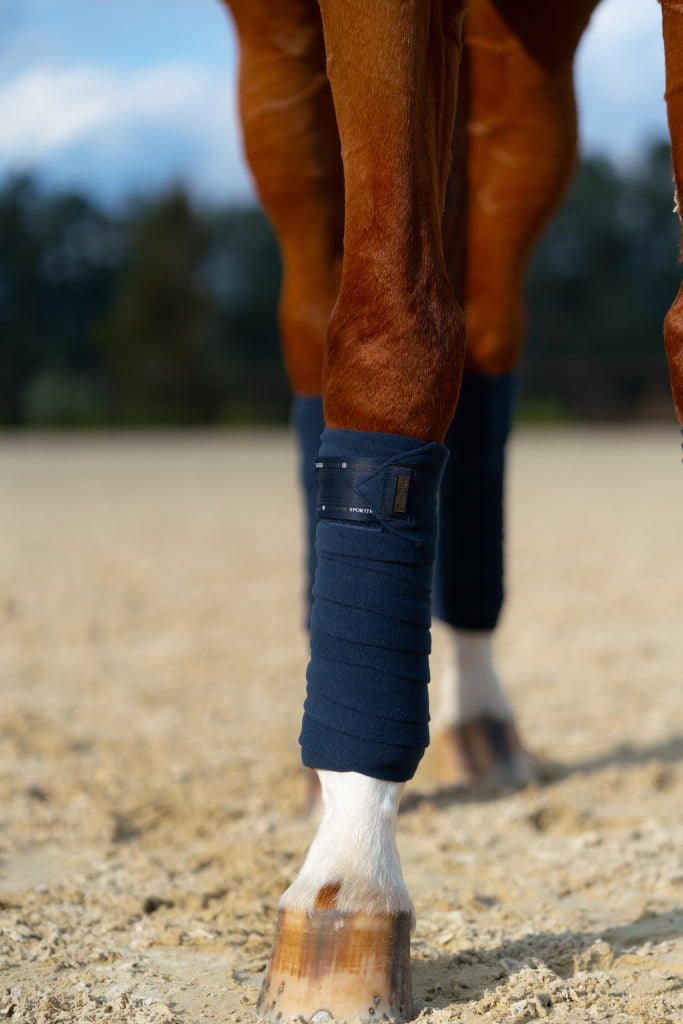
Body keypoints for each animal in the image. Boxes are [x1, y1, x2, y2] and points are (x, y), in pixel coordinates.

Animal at [222, 0, 679, 1019]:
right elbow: (389, 334)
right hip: (275, 59)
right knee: (315, 317)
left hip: (525, 71)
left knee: (486, 335)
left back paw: (478, 721)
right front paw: (345, 892)